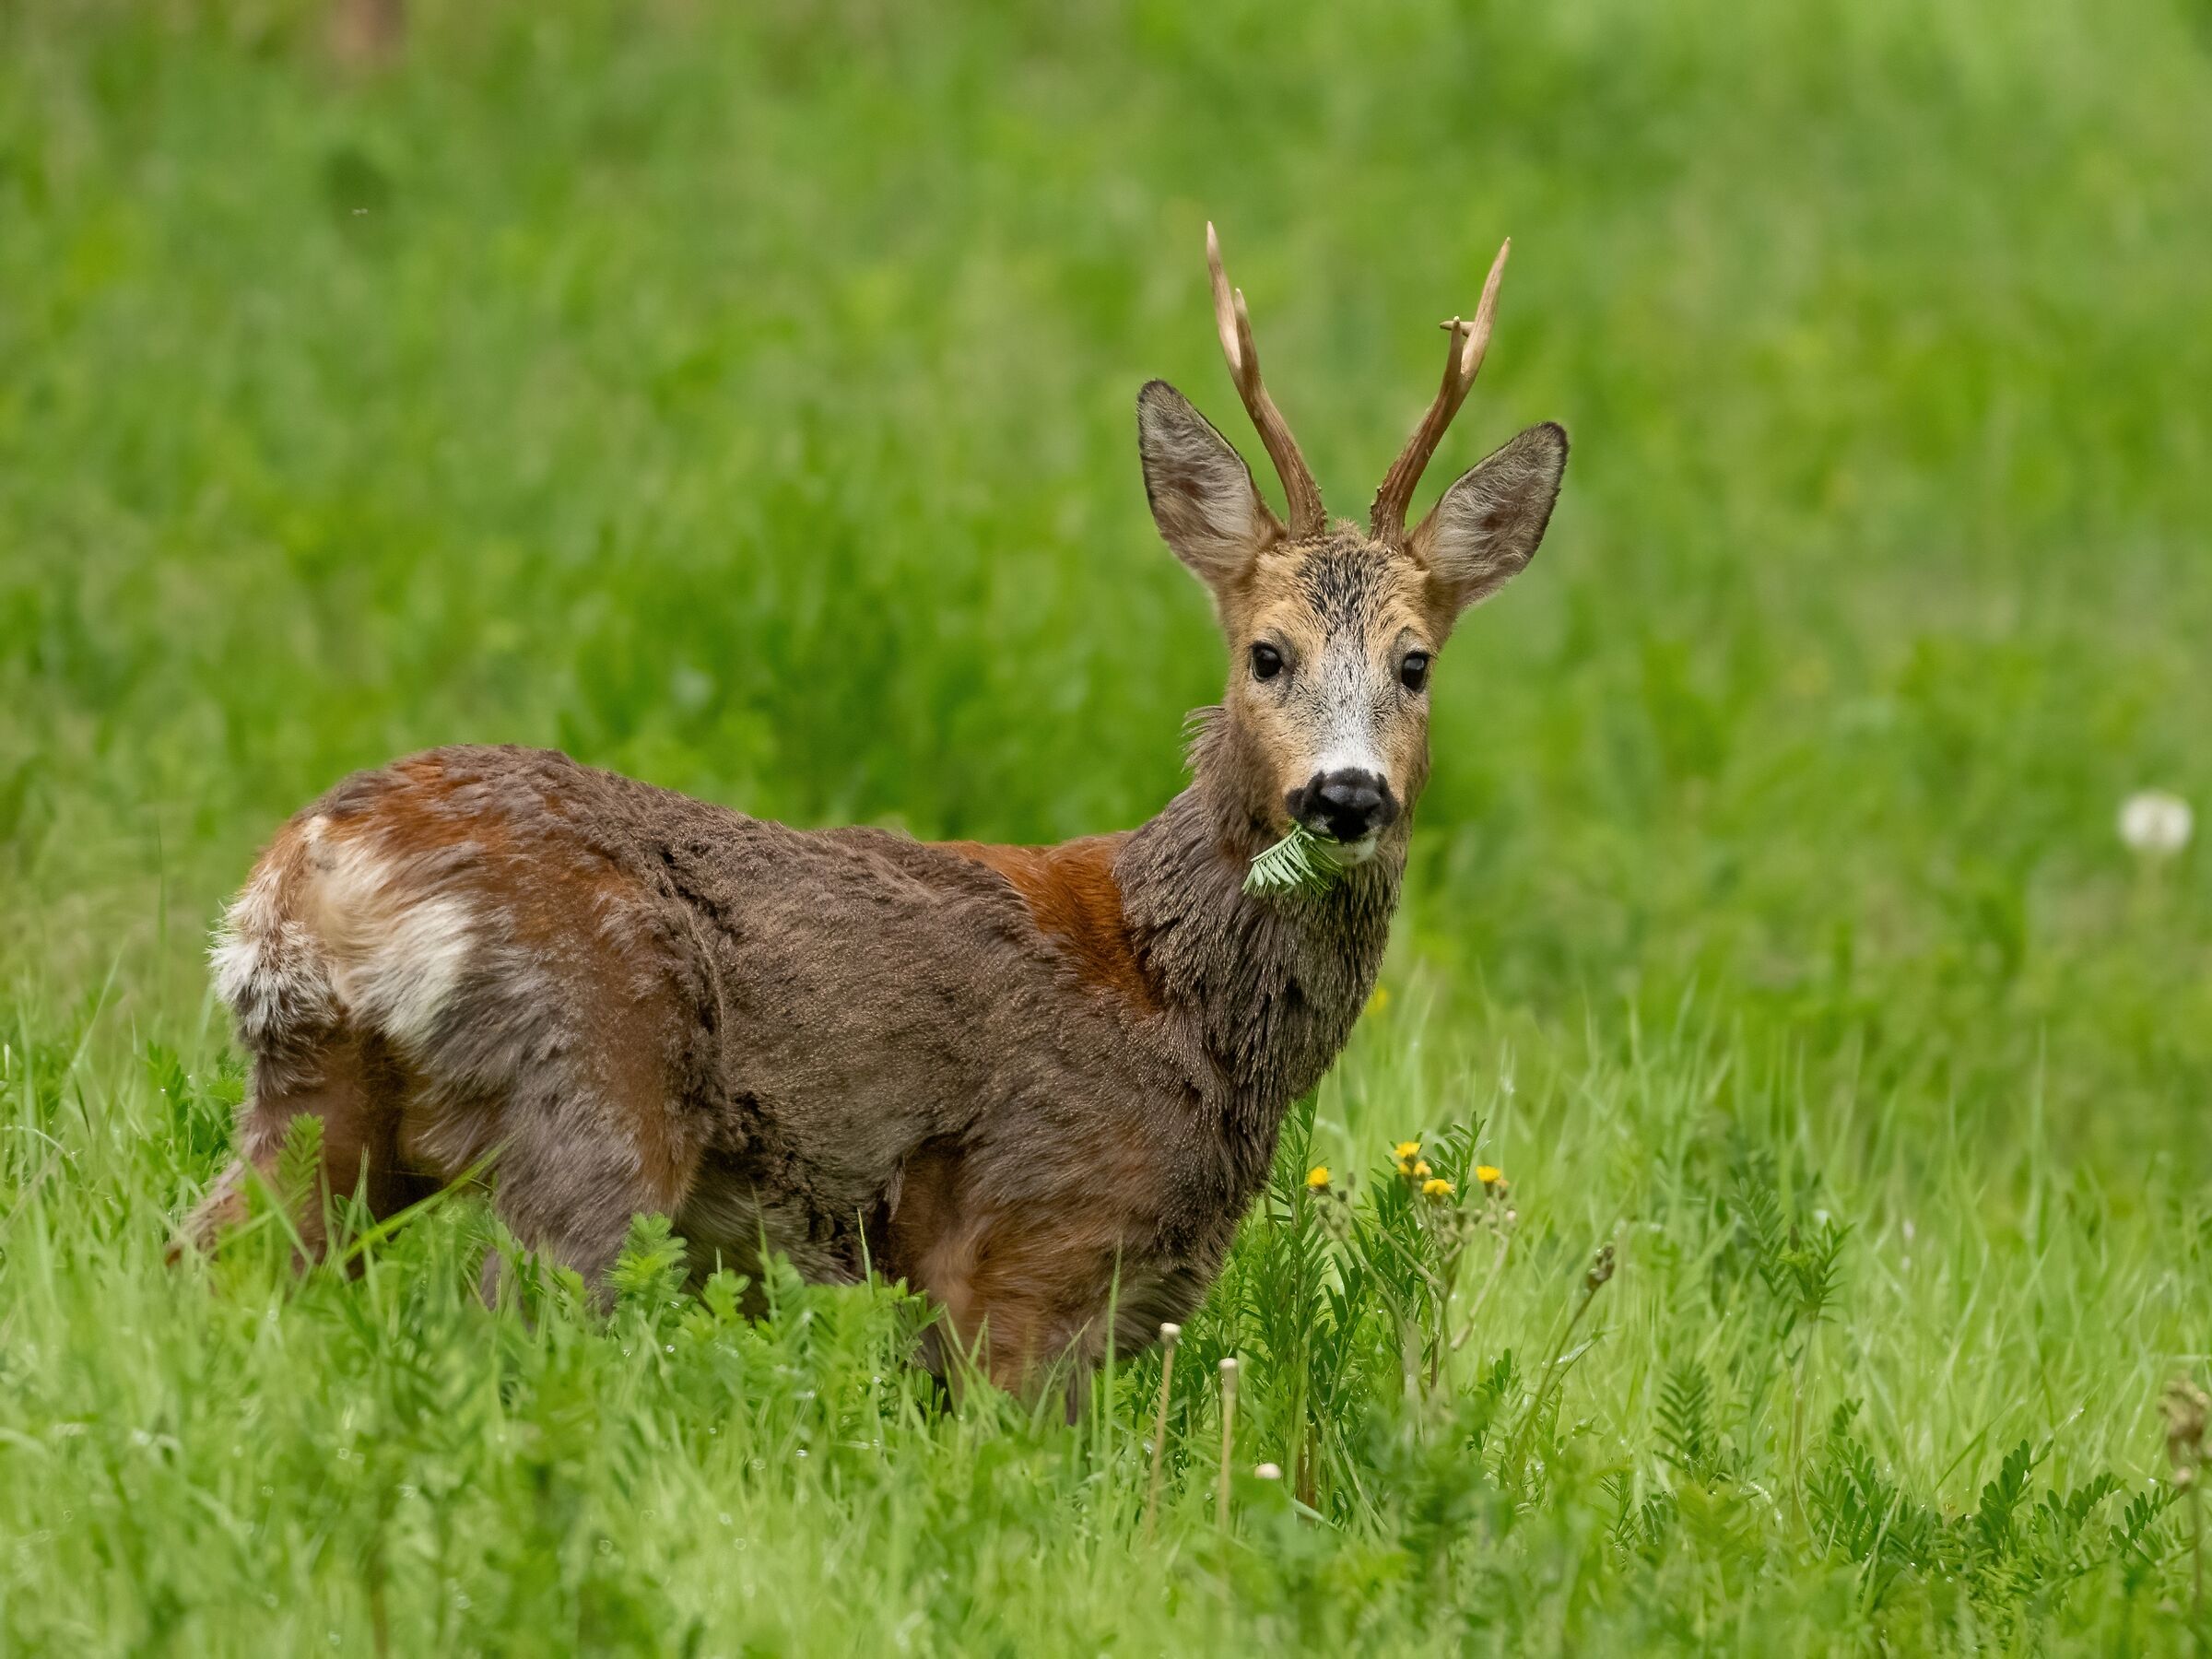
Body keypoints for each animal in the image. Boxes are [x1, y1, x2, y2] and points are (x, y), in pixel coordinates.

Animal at [180, 224, 1567, 1396]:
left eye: (1415, 663)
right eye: (1267, 653)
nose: (1344, 795)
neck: (1183, 1003)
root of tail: (315, 869)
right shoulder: (1030, 1240)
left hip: (325, 1097)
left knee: (205, 1262)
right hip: (588, 1106)